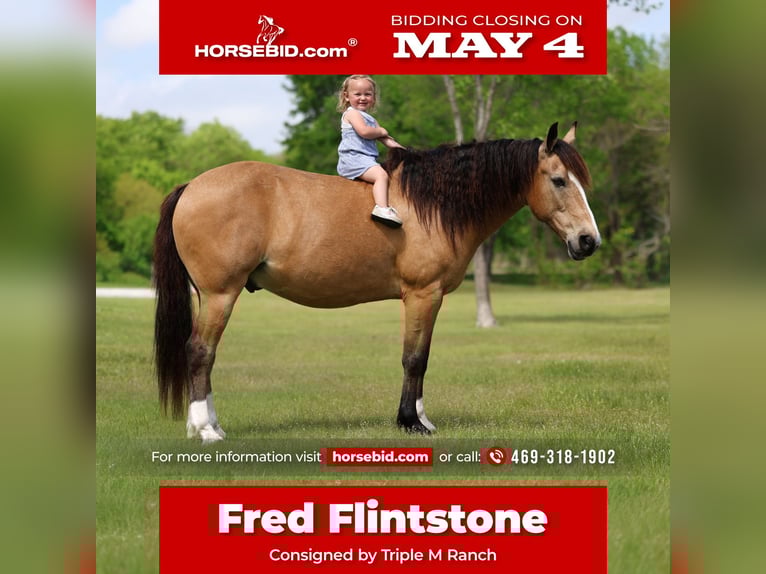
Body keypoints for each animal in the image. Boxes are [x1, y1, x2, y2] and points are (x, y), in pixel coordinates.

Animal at [153, 122, 601, 442]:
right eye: (559, 180)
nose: (588, 241)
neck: (434, 205)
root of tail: (191, 186)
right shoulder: (422, 294)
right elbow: (414, 358)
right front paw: (410, 422)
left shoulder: (428, 298)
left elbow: (422, 357)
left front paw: (420, 417)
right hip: (220, 294)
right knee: (200, 352)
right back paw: (206, 429)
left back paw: (210, 425)